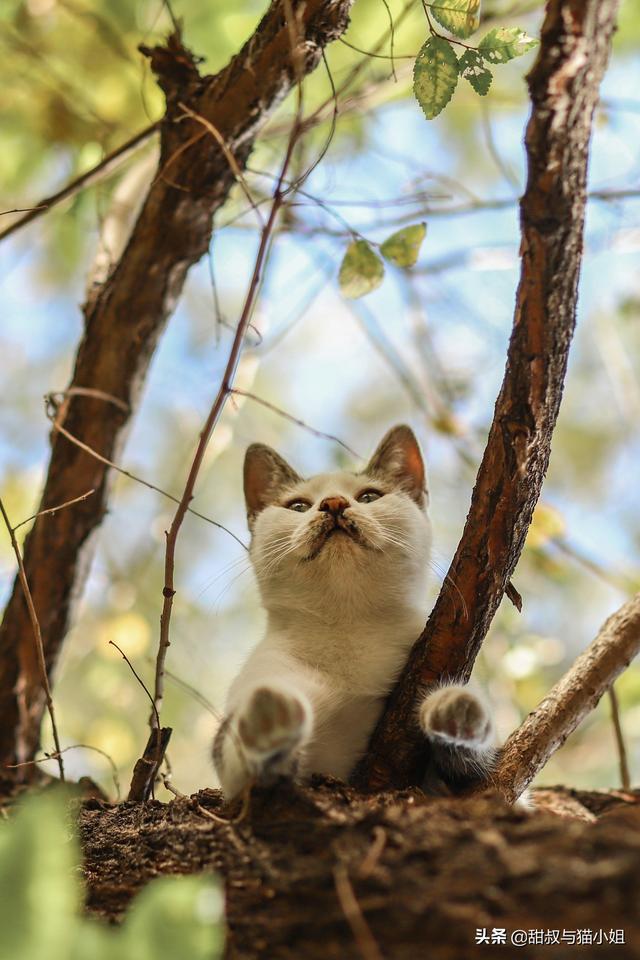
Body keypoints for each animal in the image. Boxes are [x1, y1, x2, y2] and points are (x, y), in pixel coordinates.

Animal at [212, 424, 498, 800]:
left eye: (368, 497)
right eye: (299, 505)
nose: (333, 503)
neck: (349, 630)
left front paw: (457, 711)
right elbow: (240, 757)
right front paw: (268, 718)